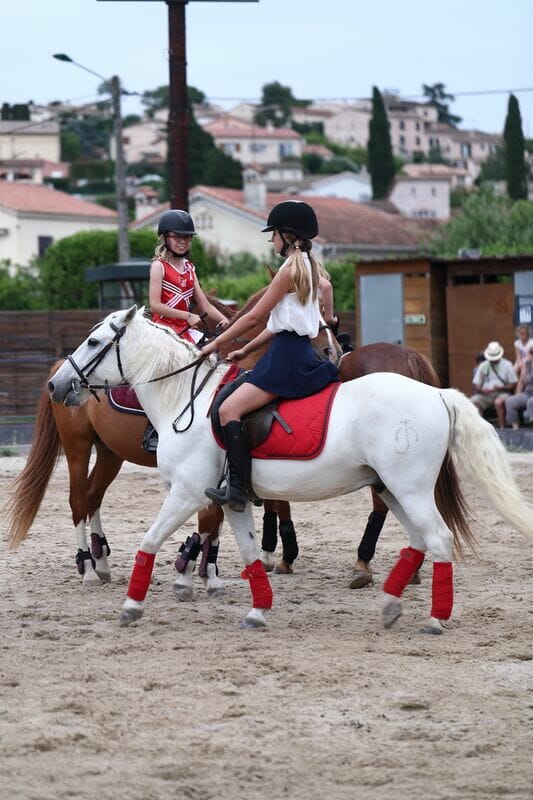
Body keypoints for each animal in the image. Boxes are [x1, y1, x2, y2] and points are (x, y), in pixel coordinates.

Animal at [46, 310, 532, 636]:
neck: (185, 398)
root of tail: (436, 393)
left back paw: (433, 618)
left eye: (94, 343)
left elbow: (149, 543)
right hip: (391, 488)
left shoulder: (186, 493)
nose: (55, 385)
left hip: (408, 488)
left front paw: (132, 605)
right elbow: (245, 552)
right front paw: (257, 610)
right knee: (418, 539)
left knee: (438, 539)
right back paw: (391, 603)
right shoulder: (231, 499)